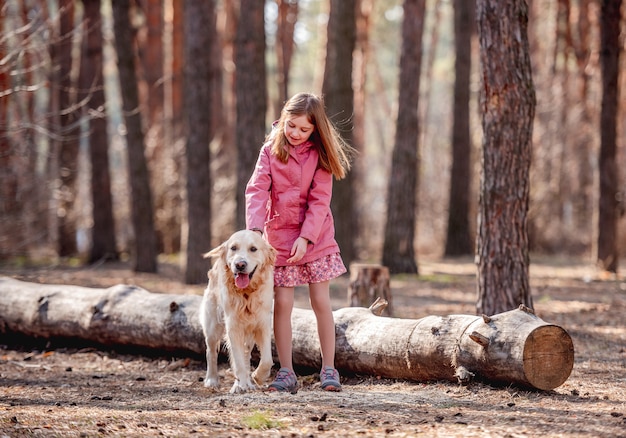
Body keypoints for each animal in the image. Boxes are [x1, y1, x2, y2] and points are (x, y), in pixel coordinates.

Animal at [199, 229, 274, 394]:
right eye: (233, 248)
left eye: (253, 249)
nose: (240, 264)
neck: (247, 293)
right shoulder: (233, 327)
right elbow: (237, 361)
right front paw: (240, 386)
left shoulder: (263, 324)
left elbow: (267, 360)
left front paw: (257, 377)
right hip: (212, 326)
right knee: (211, 351)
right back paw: (212, 380)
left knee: (246, 355)